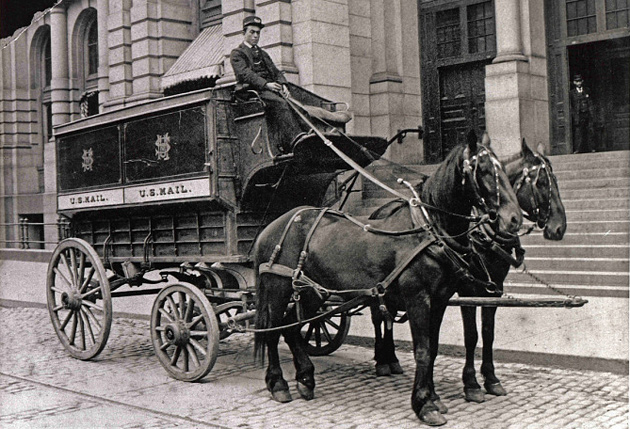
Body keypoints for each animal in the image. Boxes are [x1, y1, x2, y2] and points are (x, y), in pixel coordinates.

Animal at [368, 140, 572, 404]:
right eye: (541, 183)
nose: (559, 228)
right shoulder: (468, 289)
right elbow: (471, 335)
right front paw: (471, 383)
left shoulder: (494, 289)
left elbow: (488, 333)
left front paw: (491, 379)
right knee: (378, 317)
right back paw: (383, 360)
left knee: (389, 317)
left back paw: (391, 358)